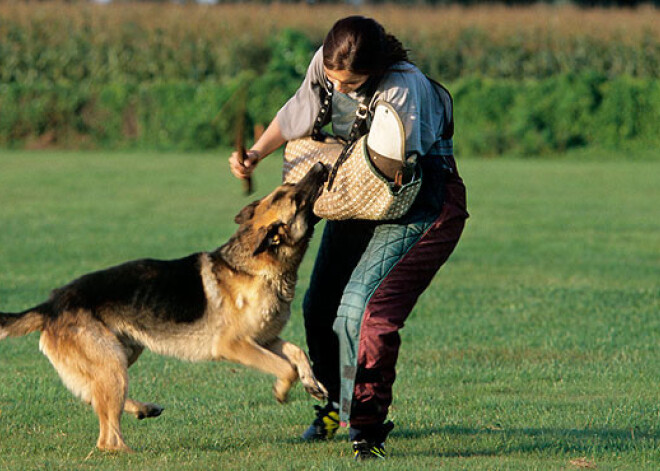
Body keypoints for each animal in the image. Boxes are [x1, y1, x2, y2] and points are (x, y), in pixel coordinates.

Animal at [0, 163, 330, 454]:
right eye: (293, 196)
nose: (320, 165)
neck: (254, 266)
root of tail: (52, 302)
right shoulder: (235, 345)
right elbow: (286, 367)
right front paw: (282, 391)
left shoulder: (265, 339)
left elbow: (298, 353)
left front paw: (312, 384)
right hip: (113, 363)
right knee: (107, 438)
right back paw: (131, 449)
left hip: (124, 353)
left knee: (94, 398)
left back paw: (142, 409)